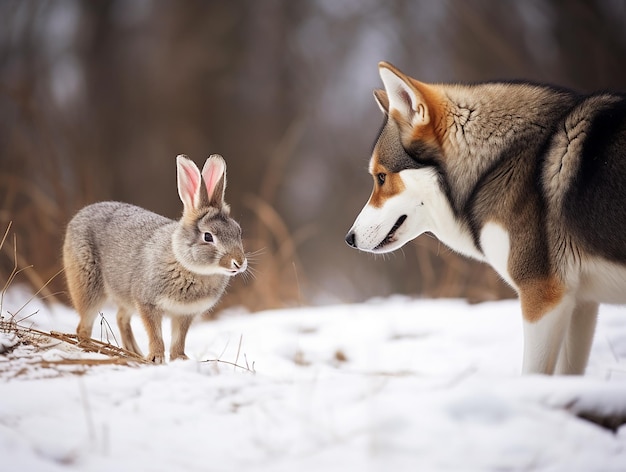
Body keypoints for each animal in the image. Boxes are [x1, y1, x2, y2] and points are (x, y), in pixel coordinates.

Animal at [62, 153, 245, 364]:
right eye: (208, 237)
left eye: (238, 231)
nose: (239, 263)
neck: (186, 266)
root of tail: (79, 215)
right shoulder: (147, 303)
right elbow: (155, 334)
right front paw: (156, 358)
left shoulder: (184, 314)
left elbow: (179, 339)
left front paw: (180, 358)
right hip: (88, 287)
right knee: (84, 324)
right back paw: (90, 348)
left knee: (121, 318)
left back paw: (133, 352)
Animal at [346, 60, 624, 374]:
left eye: (381, 177)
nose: (349, 239)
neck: (497, 165)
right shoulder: (580, 303)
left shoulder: (543, 298)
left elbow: (532, 374)